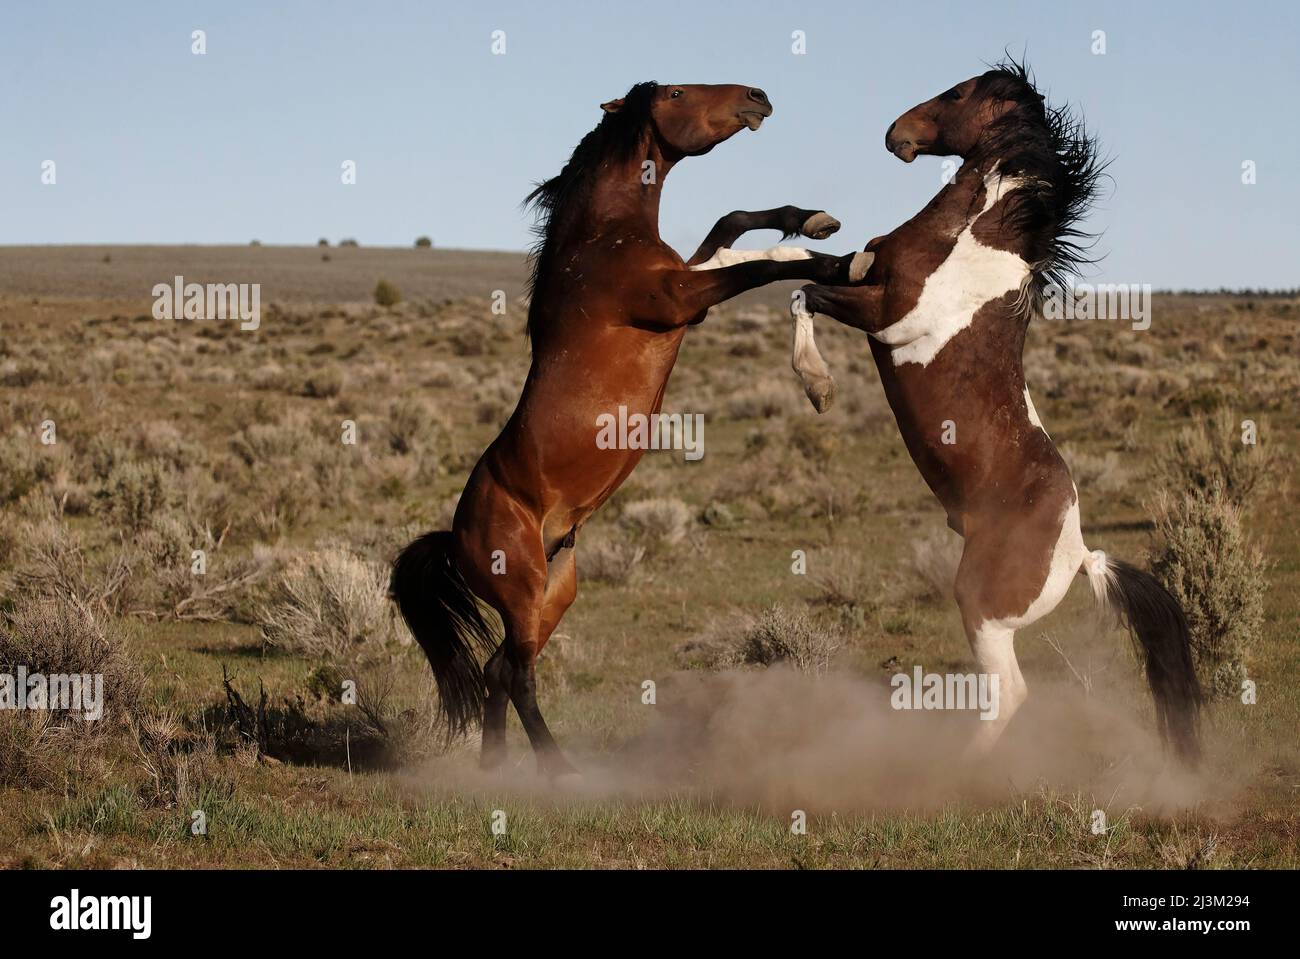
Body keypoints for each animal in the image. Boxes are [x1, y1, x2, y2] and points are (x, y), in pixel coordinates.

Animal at [392, 81, 869, 776]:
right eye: (675, 91)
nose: (757, 96)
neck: (600, 241)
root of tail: (453, 541)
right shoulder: (678, 298)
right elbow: (755, 266)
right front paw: (841, 261)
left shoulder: (688, 291)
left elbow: (730, 228)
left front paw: (812, 218)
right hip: (522, 592)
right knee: (519, 676)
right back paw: (558, 771)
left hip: (554, 592)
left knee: (497, 669)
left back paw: (497, 769)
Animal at [800, 59, 1203, 762]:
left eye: (958, 92)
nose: (895, 134)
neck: (971, 239)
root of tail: (1081, 555)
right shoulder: (862, 275)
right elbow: (796, 269)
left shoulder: (885, 315)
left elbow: (804, 293)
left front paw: (816, 384)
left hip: (981, 607)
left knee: (1010, 693)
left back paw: (957, 769)